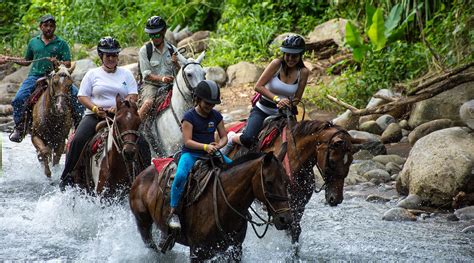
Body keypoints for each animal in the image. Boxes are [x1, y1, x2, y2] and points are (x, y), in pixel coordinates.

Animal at [130, 152, 292, 262]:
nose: (285, 219)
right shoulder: (198, 252)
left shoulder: (235, 249)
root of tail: (140, 176)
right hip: (143, 224)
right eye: (269, 182)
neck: (221, 203)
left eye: (286, 181)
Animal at [228, 117, 358, 245]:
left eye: (351, 161)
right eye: (332, 161)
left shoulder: (299, 205)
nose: (336, 199)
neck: (293, 159)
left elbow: (295, 230)